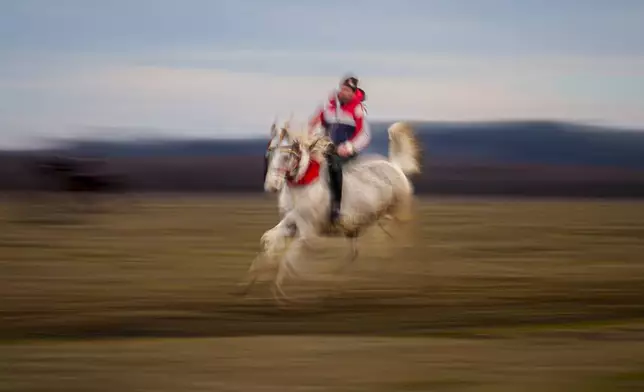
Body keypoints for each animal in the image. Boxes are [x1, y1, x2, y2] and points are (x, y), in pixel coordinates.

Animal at [244, 121, 420, 302]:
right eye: (270, 154)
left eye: (287, 157)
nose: (271, 186)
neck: (302, 185)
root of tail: (396, 167)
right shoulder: (290, 224)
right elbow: (268, 240)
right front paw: (250, 281)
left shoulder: (307, 234)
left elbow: (287, 259)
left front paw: (279, 293)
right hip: (362, 227)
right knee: (355, 254)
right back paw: (337, 283)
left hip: (395, 216)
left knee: (401, 243)